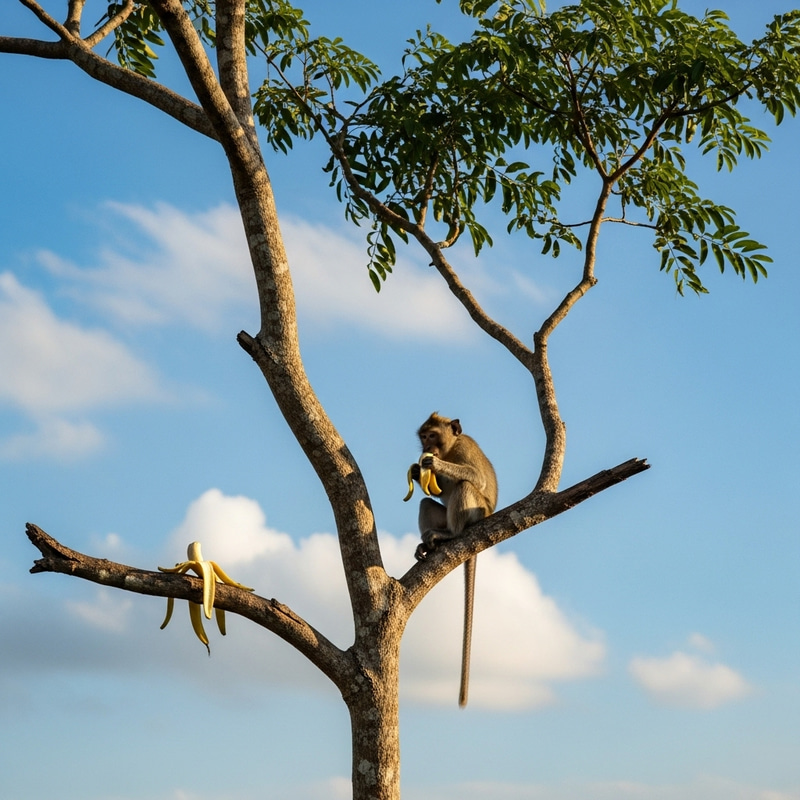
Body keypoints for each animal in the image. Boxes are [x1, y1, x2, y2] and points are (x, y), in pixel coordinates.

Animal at [409, 412, 497, 707]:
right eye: (423, 436)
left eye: (432, 435)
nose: (427, 447)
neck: (449, 449)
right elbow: (434, 494)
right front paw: (418, 471)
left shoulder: (464, 450)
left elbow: (475, 478)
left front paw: (434, 464)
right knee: (426, 503)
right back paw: (429, 544)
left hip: (477, 513)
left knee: (465, 485)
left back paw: (451, 535)